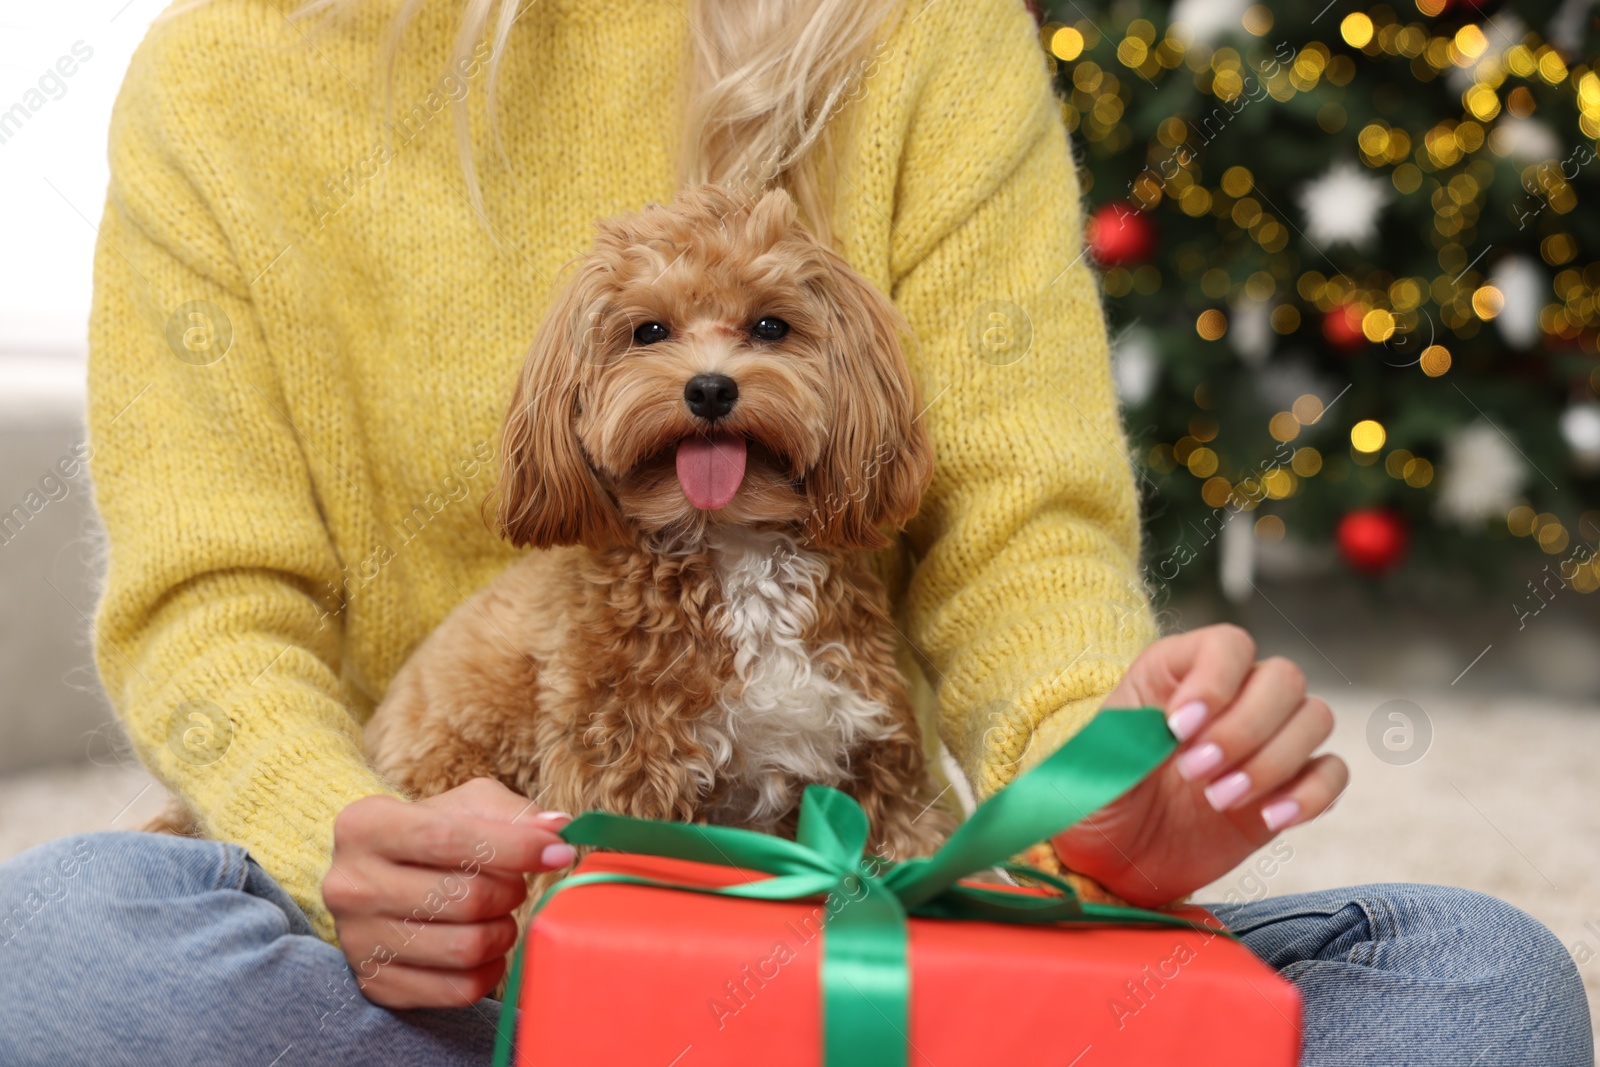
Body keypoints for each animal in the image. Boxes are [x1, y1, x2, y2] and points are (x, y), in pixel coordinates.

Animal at [366, 183, 947, 863]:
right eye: (649, 331)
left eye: (770, 326)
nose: (710, 389)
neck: (734, 546)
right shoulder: (621, 776)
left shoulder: (875, 761)